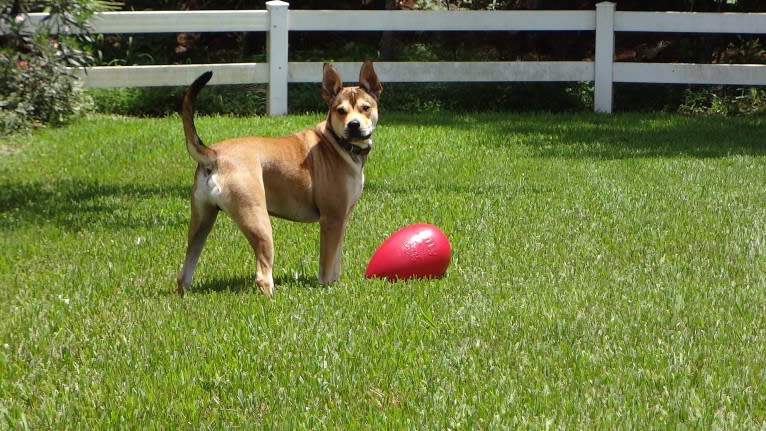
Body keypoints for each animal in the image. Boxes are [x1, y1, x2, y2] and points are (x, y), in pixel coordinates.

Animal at [178, 61, 384, 296]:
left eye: (365, 107)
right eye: (340, 111)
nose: (354, 125)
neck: (337, 143)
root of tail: (214, 155)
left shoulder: (341, 219)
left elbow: (336, 260)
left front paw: (335, 284)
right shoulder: (331, 219)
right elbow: (327, 263)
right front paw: (325, 287)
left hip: (202, 221)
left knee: (185, 269)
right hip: (257, 220)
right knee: (263, 272)